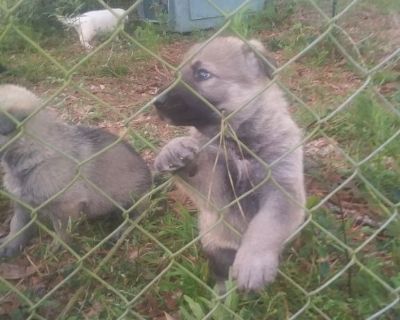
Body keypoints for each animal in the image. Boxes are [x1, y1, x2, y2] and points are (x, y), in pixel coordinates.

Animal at [0, 85, 152, 258]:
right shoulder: (22, 203)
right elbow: (17, 225)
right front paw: (10, 244)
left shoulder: (66, 206)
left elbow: (62, 230)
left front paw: (58, 247)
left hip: (132, 198)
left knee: (137, 215)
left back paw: (121, 230)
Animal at [155, 37, 304, 290]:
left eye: (202, 74)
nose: (156, 102)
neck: (238, 141)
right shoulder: (219, 187)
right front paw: (173, 149)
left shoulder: (283, 188)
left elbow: (266, 225)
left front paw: (253, 262)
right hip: (215, 242)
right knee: (221, 268)